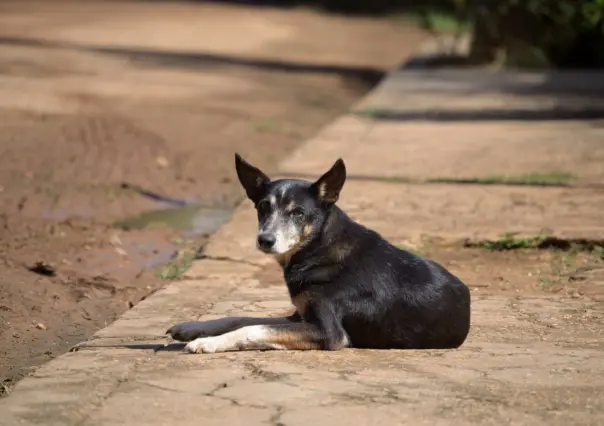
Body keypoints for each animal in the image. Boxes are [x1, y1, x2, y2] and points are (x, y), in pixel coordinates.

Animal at [166, 153, 472, 352]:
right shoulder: (299, 316)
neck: (319, 249)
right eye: (263, 207)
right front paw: (191, 328)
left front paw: (207, 342)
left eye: (298, 213)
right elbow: (240, 319)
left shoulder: (328, 332)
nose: (265, 240)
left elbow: (253, 329)